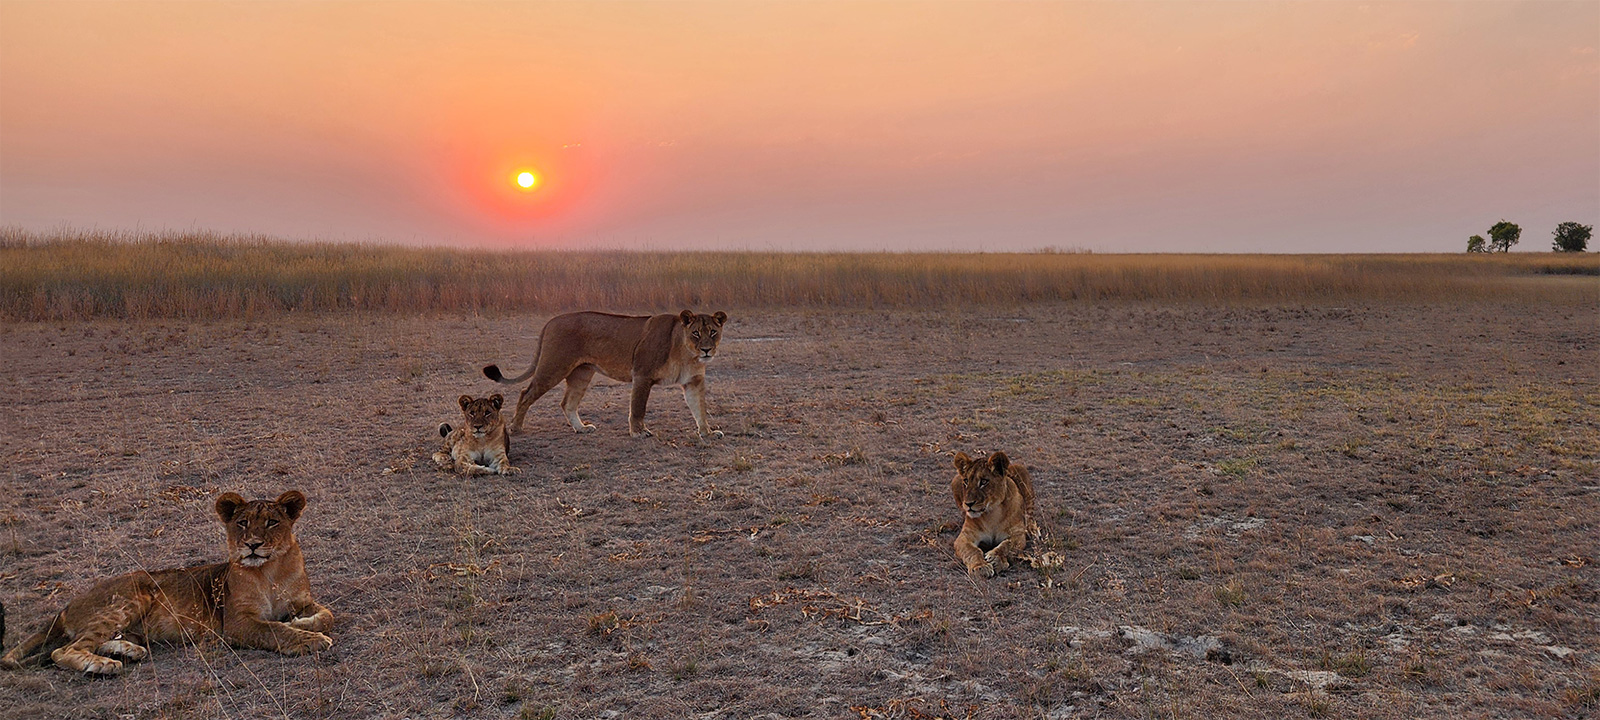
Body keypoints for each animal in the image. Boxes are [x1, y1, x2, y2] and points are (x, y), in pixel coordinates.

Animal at [0, 491, 333, 675]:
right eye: (242, 523)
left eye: (272, 522)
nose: (252, 545)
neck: (270, 571)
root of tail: (68, 604)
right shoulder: (237, 623)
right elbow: (273, 630)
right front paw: (307, 639)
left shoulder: (303, 599)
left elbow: (326, 616)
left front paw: (302, 623)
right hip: (132, 596)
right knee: (63, 651)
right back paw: (103, 665)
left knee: (88, 641)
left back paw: (128, 651)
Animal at [483, 310, 729, 439]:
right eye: (695, 333)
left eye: (713, 332)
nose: (707, 350)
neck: (688, 354)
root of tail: (551, 320)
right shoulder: (642, 375)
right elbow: (638, 408)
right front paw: (638, 432)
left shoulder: (693, 383)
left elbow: (700, 409)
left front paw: (707, 432)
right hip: (553, 367)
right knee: (525, 393)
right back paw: (516, 428)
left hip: (581, 374)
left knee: (567, 403)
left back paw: (581, 428)